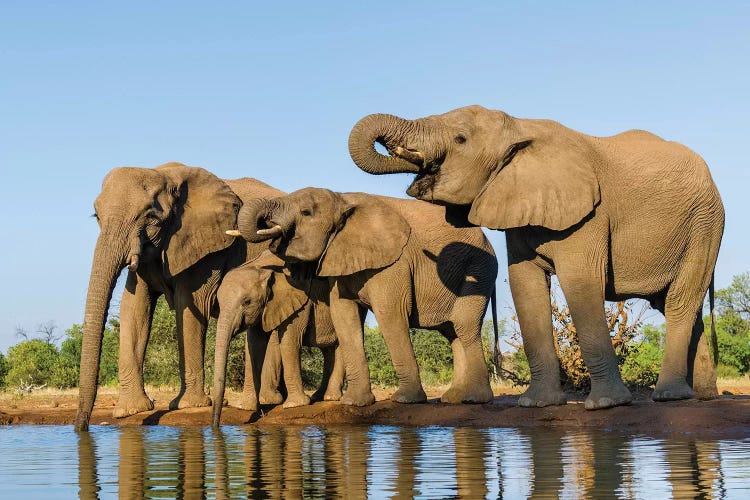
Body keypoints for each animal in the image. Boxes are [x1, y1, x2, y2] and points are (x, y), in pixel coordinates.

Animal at [75, 163, 284, 430]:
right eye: (97, 216)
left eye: (150, 217)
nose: (82, 426)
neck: (165, 175)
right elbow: (134, 308)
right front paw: (130, 410)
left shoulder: (206, 246)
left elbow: (190, 305)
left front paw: (187, 405)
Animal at [232, 188, 500, 406]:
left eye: (306, 212)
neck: (342, 199)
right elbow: (344, 317)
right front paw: (355, 403)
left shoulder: (395, 263)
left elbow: (390, 312)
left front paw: (405, 400)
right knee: (452, 332)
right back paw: (453, 399)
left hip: (479, 268)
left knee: (464, 324)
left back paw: (474, 399)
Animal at [350, 105, 724, 410]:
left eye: (460, 139)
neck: (519, 128)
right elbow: (525, 285)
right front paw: (536, 404)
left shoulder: (589, 214)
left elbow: (581, 282)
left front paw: (605, 405)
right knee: (678, 305)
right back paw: (700, 396)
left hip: (704, 225)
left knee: (679, 303)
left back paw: (669, 396)